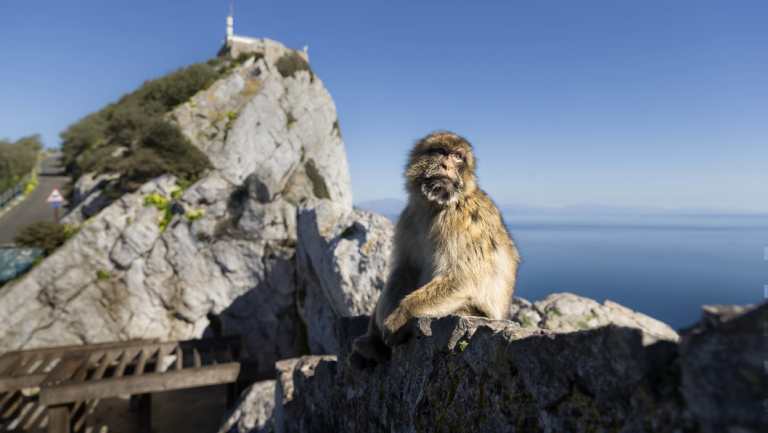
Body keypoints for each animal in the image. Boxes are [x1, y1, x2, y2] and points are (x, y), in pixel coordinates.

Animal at [350, 131, 520, 366]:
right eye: (440, 151)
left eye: (457, 157)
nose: (446, 165)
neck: (436, 206)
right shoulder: (409, 216)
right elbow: (405, 268)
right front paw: (383, 320)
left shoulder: (464, 220)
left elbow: (463, 277)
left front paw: (401, 315)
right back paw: (371, 345)